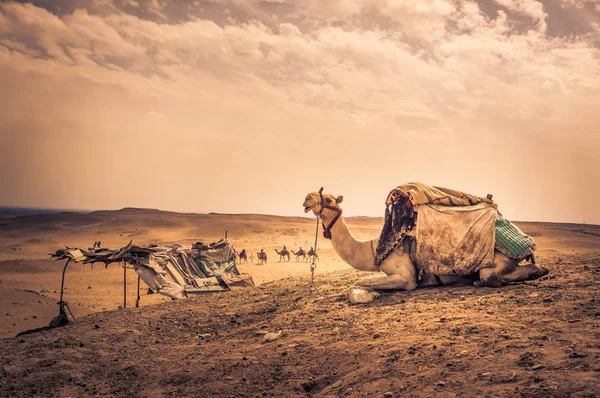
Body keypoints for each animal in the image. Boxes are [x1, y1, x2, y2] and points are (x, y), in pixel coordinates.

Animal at [302, 188, 552, 290]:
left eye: (330, 200)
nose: (307, 198)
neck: (374, 248)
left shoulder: (406, 277)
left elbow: (359, 282)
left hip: (494, 261)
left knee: (490, 276)